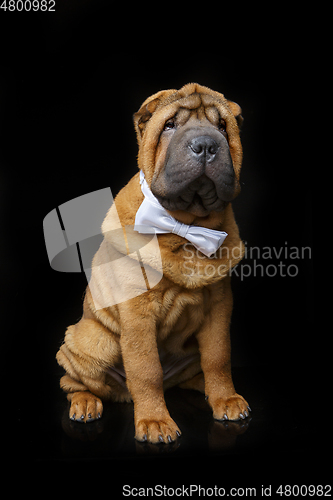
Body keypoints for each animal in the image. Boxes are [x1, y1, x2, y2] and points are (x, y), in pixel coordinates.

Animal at [56, 83, 249, 446]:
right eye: (169, 125)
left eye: (222, 127)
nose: (205, 145)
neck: (185, 226)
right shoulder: (138, 315)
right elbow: (146, 370)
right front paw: (155, 421)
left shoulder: (219, 306)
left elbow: (218, 356)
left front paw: (226, 398)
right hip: (89, 339)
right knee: (75, 382)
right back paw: (86, 404)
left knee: (193, 371)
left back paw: (208, 390)